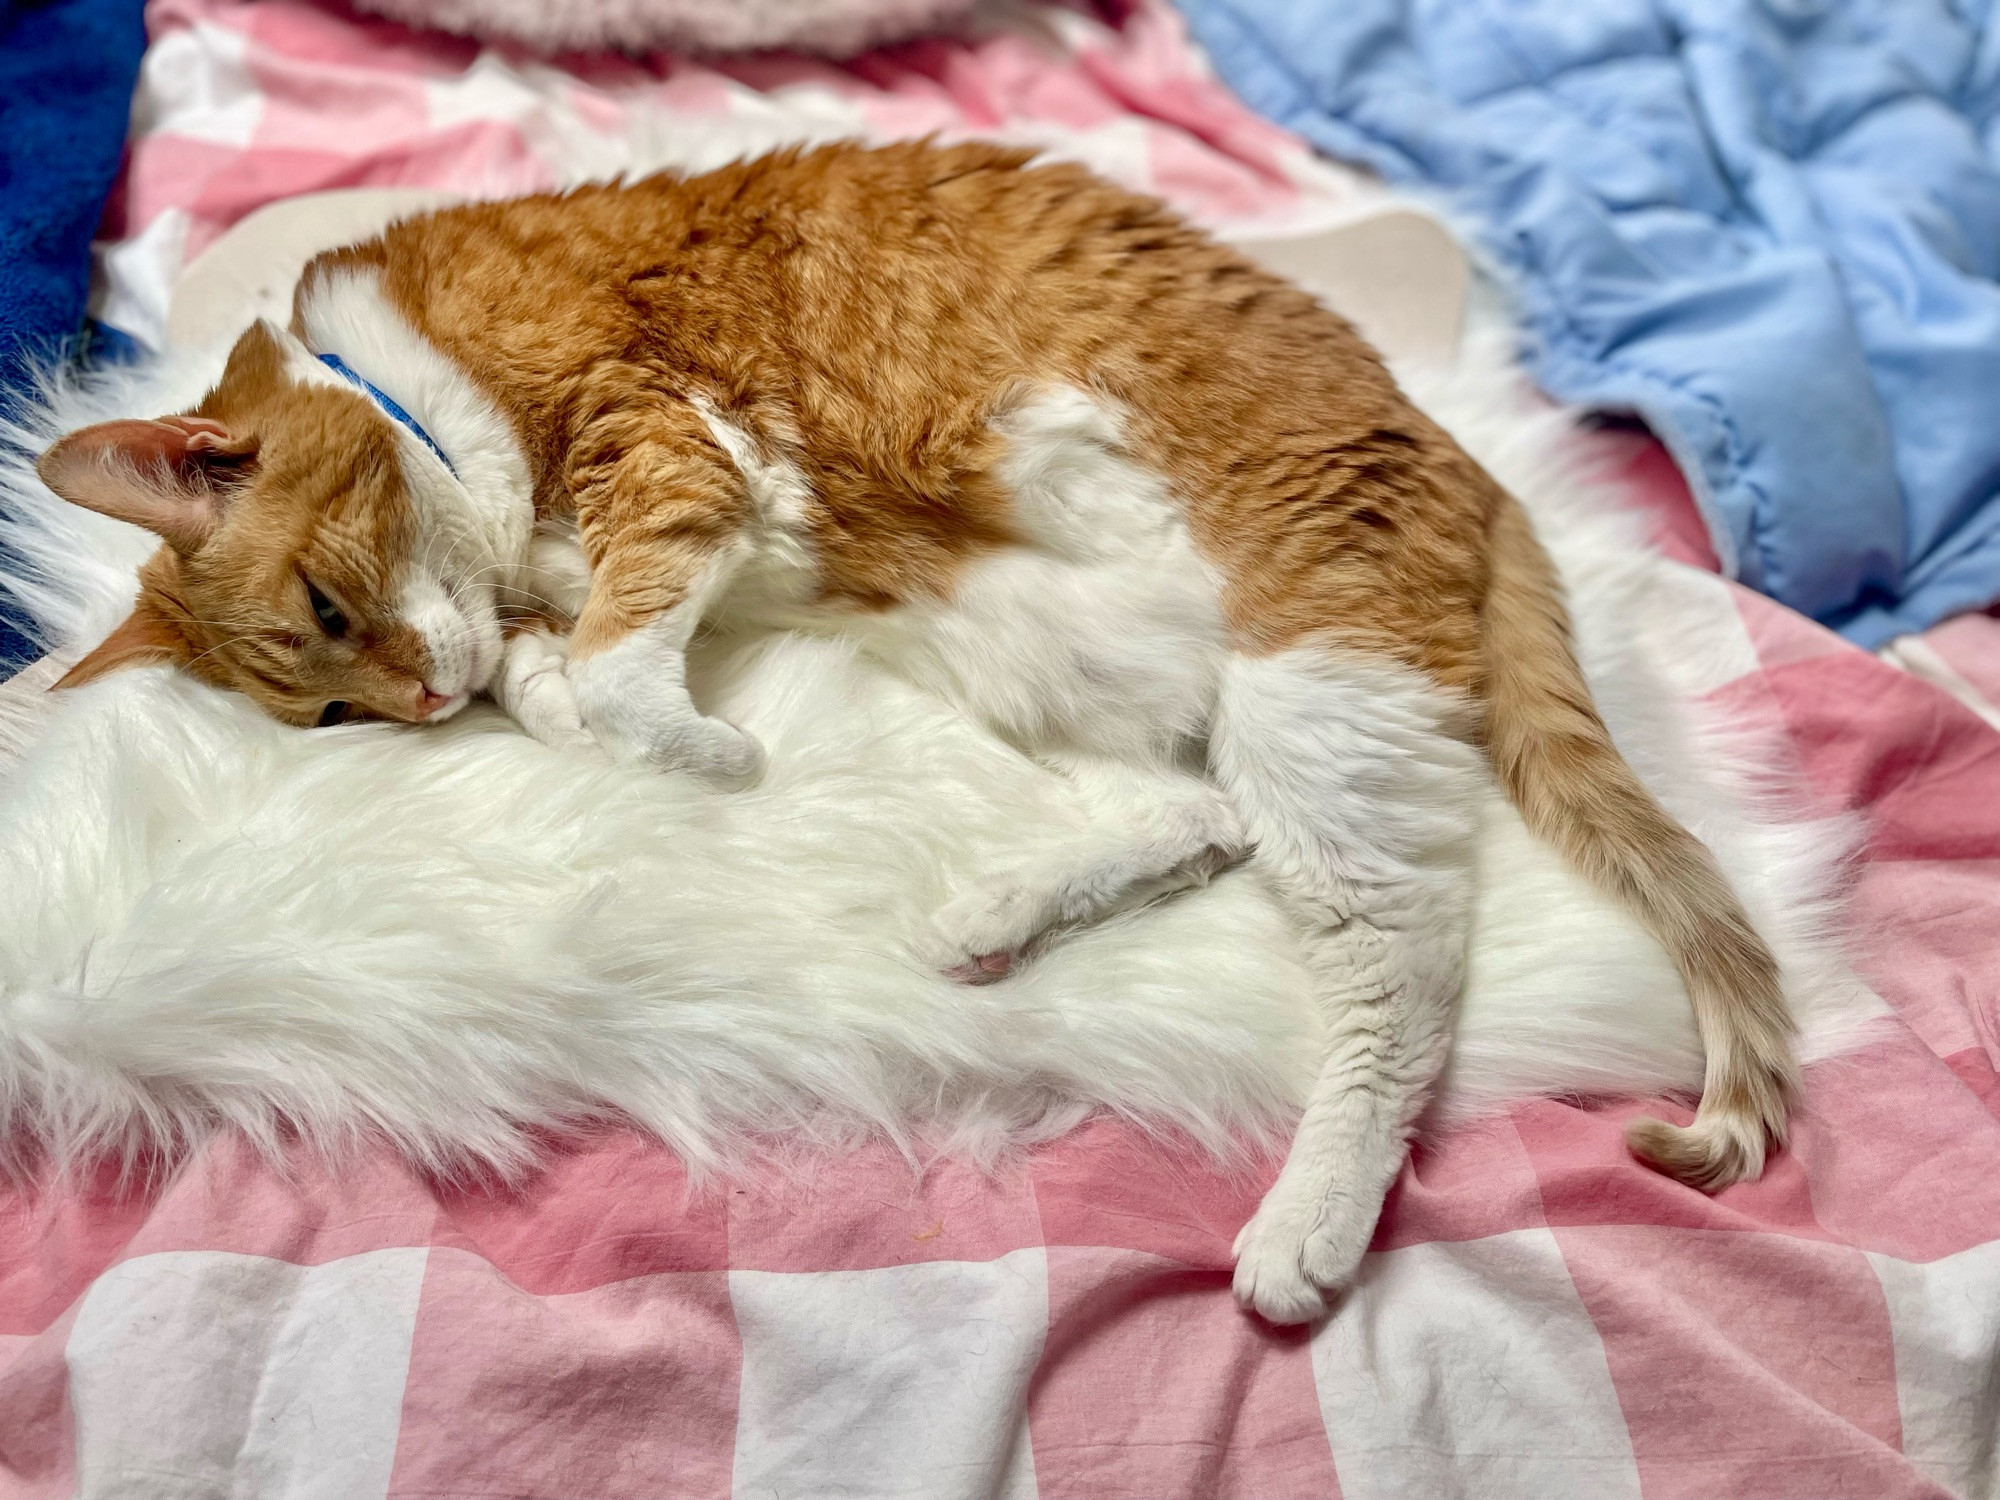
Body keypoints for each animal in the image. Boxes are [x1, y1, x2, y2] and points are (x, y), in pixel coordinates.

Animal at [35, 147, 1800, 1328]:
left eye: (327, 611)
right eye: (329, 705)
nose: (412, 707)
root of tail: (1466, 457)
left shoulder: (665, 441)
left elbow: (621, 668)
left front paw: (698, 744)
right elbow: (578, 674)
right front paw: (565, 693)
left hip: (1309, 687)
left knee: (1402, 965)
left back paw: (1304, 1229)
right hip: (1027, 651)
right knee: (1198, 816)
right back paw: (990, 916)